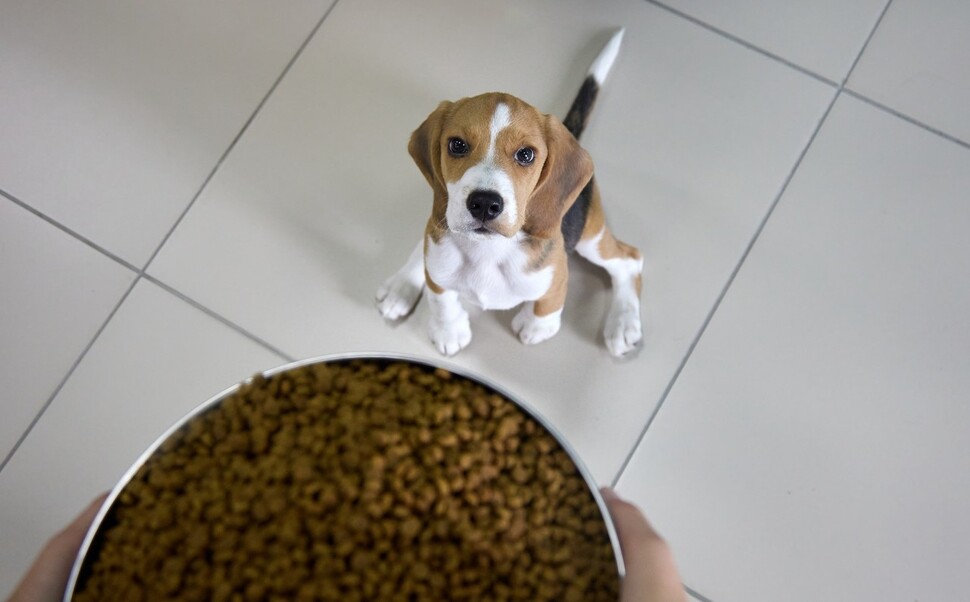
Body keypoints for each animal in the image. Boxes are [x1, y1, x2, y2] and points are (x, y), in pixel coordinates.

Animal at [378, 29, 644, 356]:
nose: (484, 203)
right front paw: (447, 329)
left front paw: (536, 325)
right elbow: (441, 297)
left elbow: (550, 301)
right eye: (457, 145)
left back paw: (623, 323)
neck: (489, 250)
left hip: (589, 237)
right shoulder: (439, 268)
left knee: (629, 260)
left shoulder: (556, 272)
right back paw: (401, 285)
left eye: (526, 154)